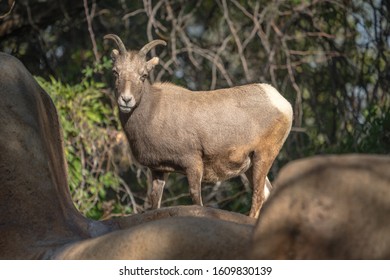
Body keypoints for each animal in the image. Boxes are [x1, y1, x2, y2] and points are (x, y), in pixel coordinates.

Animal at [103, 35, 292, 218]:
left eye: (143, 75)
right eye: (115, 72)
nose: (126, 100)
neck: (153, 114)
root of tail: (281, 102)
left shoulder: (192, 163)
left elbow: (195, 198)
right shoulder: (158, 171)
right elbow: (155, 202)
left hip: (263, 156)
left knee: (259, 195)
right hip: (250, 166)